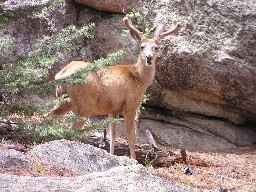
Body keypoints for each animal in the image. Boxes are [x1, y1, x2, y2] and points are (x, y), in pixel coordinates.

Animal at [46, 14, 182, 159]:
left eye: (156, 47)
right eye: (142, 46)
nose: (149, 58)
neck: (138, 79)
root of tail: (62, 74)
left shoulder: (113, 109)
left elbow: (113, 135)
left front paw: (111, 154)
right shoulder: (130, 106)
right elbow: (131, 137)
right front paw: (133, 159)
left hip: (64, 101)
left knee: (48, 115)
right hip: (85, 103)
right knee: (73, 129)